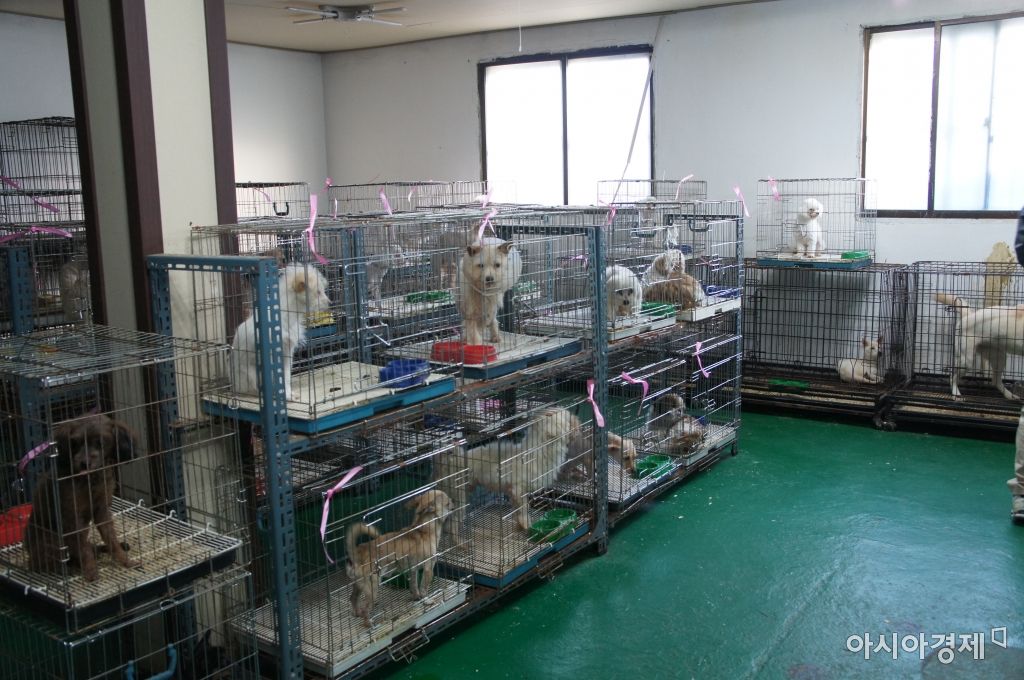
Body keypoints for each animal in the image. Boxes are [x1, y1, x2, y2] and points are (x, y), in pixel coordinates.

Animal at [22, 414, 140, 582]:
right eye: (75, 443)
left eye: (100, 443)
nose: (84, 463)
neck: (90, 480)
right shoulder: (73, 516)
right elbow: (83, 548)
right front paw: (91, 571)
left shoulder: (102, 510)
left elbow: (111, 540)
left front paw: (125, 560)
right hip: (52, 540)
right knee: (47, 563)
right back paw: (66, 567)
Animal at [230, 263, 331, 401]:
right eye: (318, 292)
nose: (330, 303)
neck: (285, 316)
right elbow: (276, 378)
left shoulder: (287, 352)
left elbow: (286, 376)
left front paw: (288, 394)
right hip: (251, 373)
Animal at [346, 489, 453, 626]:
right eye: (448, 503)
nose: (453, 502)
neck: (424, 530)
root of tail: (357, 552)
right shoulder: (429, 567)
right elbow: (424, 588)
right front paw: (427, 601)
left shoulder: (413, 570)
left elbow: (414, 585)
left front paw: (416, 597)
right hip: (372, 587)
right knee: (366, 608)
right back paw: (369, 623)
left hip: (358, 584)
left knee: (353, 598)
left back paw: (356, 612)